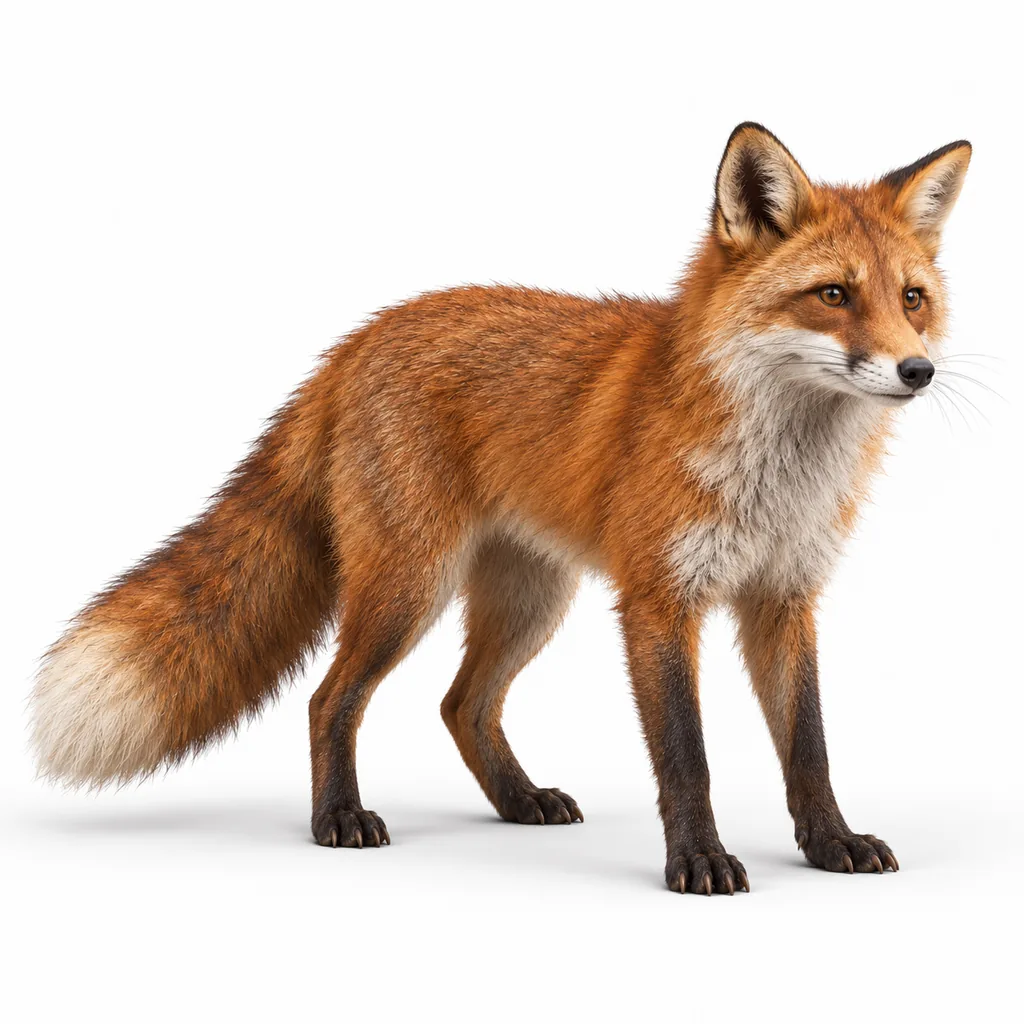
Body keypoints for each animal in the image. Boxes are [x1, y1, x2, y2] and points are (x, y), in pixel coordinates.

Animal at [31, 123, 971, 894]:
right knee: (331, 698)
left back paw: (518, 799)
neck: (779, 473)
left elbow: (809, 746)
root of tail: (358, 337)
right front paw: (698, 861)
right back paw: (338, 818)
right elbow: (686, 757)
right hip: (408, 587)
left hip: (531, 598)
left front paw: (831, 843)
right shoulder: (659, 600)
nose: (917, 370)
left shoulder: (784, 596)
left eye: (911, 298)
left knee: (462, 704)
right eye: (834, 296)